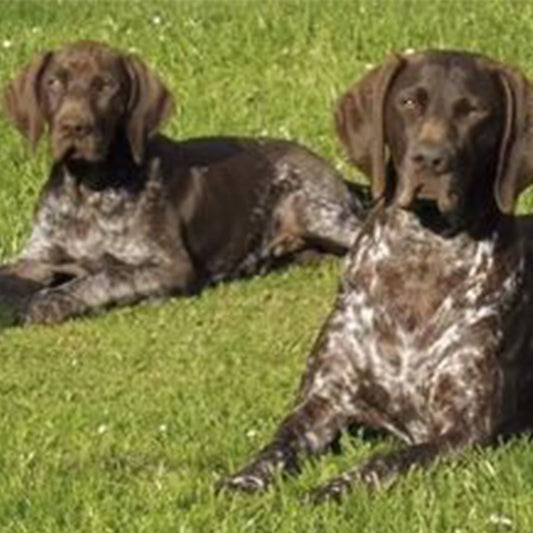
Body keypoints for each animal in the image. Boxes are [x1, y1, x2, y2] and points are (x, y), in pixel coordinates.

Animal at [0, 40, 370, 324]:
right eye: (53, 83)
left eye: (106, 85)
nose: (73, 127)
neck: (87, 190)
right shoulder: (37, 257)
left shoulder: (169, 266)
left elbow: (103, 276)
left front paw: (51, 300)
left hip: (315, 210)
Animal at [219, 51, 532, 502]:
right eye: (409, 102)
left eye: (475, 111)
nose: (430, 159)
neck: (422, 256)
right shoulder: (324, 399)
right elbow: (277, 445)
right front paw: (244, 480)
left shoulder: (462, 430)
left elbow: (383, 461)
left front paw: (330, 489)